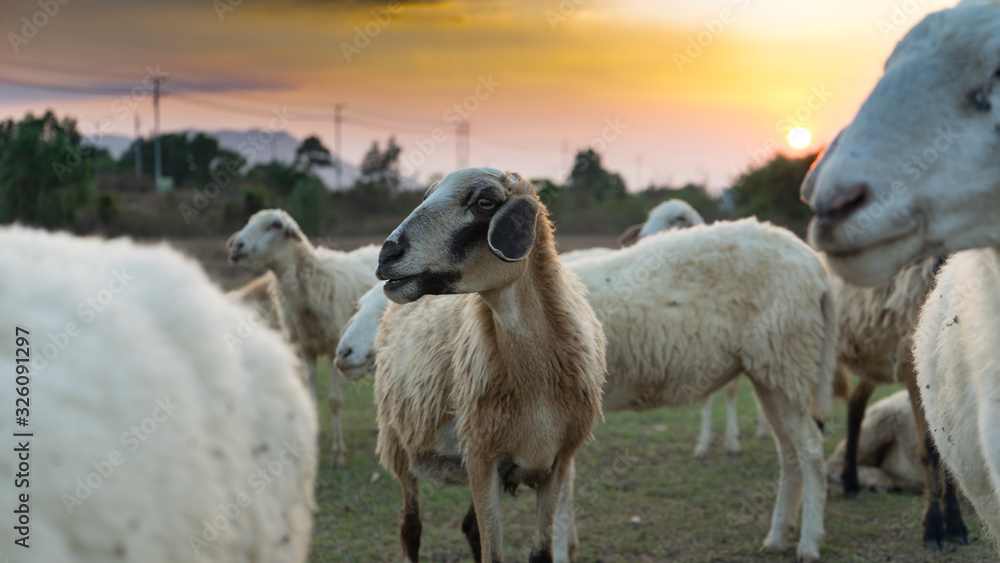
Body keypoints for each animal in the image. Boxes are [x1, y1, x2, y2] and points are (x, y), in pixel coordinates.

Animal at [227, 208, 379, 469]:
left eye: (276, 225)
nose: (236, 245)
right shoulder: (305, 348)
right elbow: (311, 400)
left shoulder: (333, 347)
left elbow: (334, 401)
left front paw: (338, 454)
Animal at [372, 168, 607, 563]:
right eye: (427, 196)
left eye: (484, 202)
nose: (386, 254)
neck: (536, 383)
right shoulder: (483, 460)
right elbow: (492, 554)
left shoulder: (556, 461)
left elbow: (540, 553)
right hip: (400, 443)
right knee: (410, 529)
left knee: (468, 528)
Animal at [800, 0, 1000, 548]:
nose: (827, 200)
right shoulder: (913, 367)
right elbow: (931, 451)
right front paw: (938, 526)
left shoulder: (916, 362)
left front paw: (952, 523)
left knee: (857, 404)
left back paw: (851, 477)